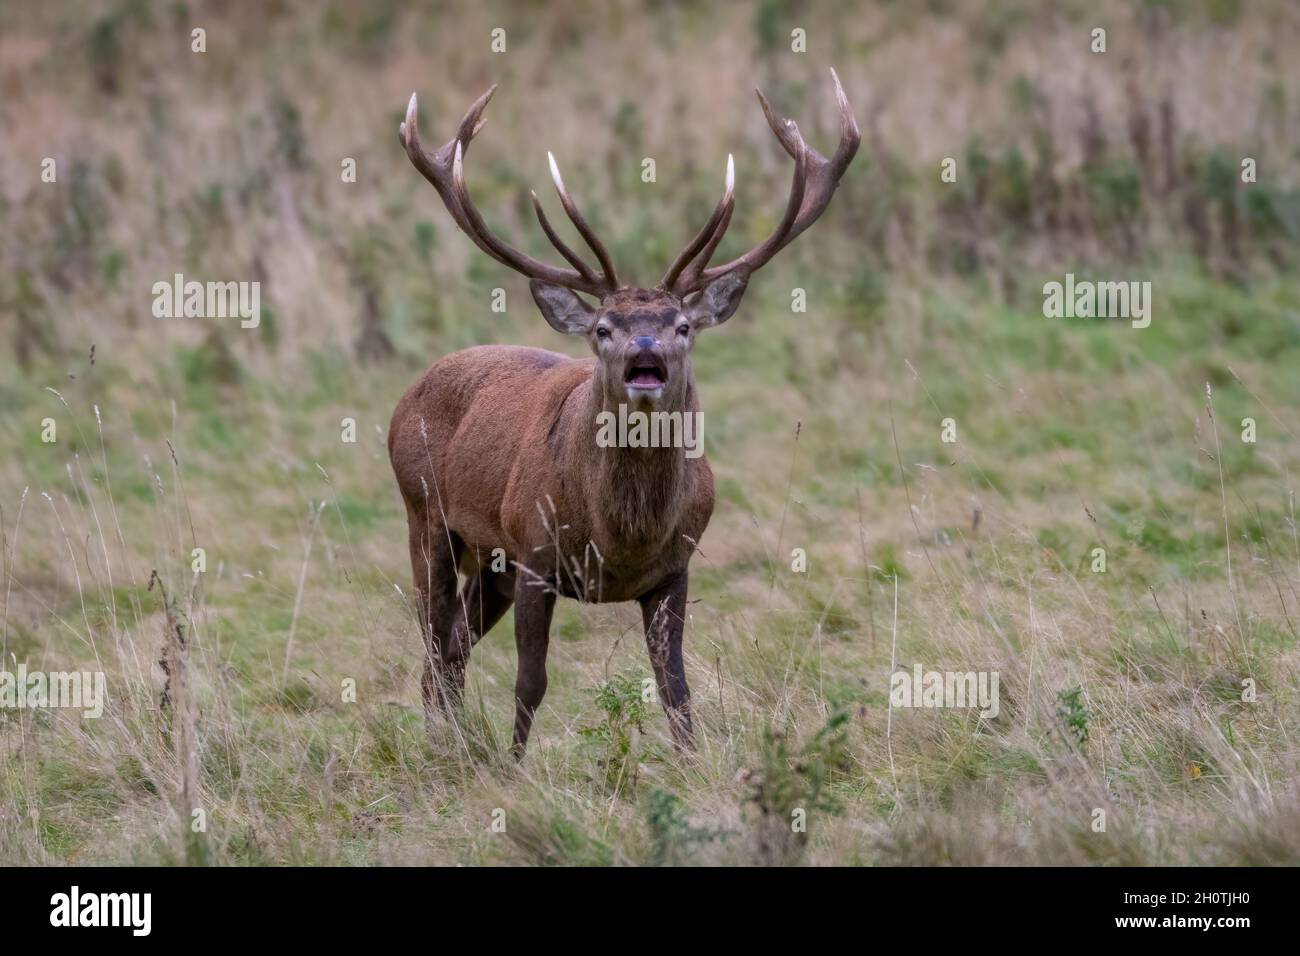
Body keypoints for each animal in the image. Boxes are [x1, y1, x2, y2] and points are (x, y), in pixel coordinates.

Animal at [389, 69, 860, 757]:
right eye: (603, 328)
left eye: (682, 325)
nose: (645, 350)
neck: (621, 538)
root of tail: (407, 396)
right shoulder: (535, 553)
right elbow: (531, 683)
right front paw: (513, 768)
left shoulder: (675, 569)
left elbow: (676, 692)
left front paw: (695, 767)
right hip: (427, 516)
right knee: (433, 647)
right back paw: (442, 747)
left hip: (489, 561)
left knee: (450, 651)